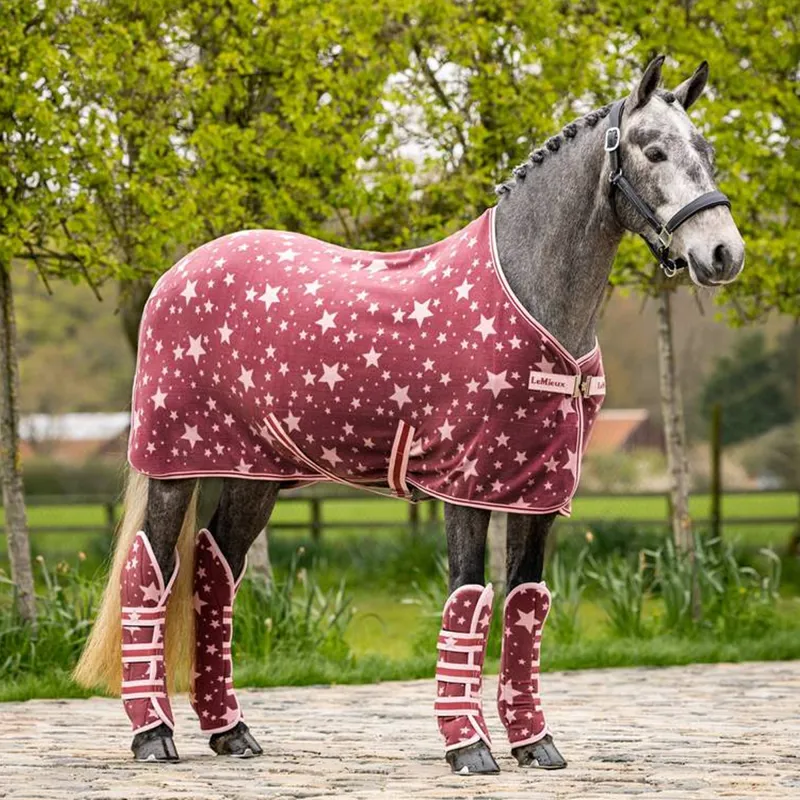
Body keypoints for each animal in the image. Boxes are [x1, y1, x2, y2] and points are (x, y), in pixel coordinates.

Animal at [74, 56, 744, 774]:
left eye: (706, 150)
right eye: (654, 151)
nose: (724, 255)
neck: (532, 298)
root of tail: (177, 276)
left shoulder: (535, 491)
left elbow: (525, 604)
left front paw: (535, 743)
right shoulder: (466, 487)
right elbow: (468, 599)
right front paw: (469, 746)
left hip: (253, 477)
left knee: (214, 574)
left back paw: (231, 731)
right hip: (175, 467)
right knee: (148, 575)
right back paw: (153, 735)